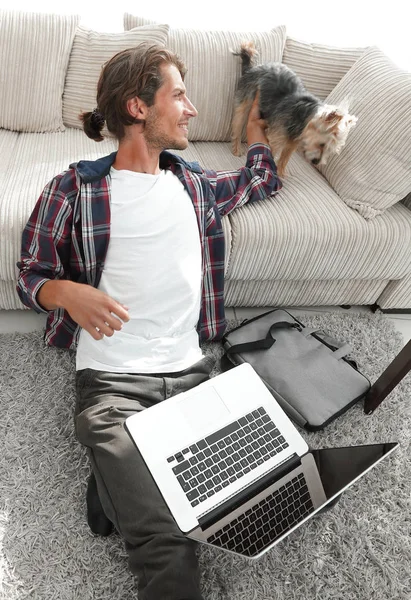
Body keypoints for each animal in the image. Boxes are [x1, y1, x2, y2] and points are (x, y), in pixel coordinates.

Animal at [232, 42, 358, 176]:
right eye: (322, 145)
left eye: (330, 150)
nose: (316, 162)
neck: (303, 118)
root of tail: (251, 69)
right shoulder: (276, 138)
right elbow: (270, 153)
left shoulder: (292, 142)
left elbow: (285, 157)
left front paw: (281, 172)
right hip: (245, 99)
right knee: (238, 123)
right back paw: (236, 148)